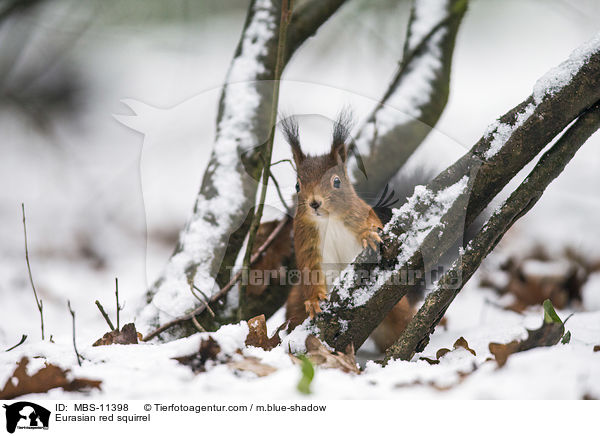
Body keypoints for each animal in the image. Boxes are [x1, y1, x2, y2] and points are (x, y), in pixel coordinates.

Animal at [280, 114, 412, 352]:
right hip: (294, 303)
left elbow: (372, 228)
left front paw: (368, 235)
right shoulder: (307, 240)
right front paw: (314, 300)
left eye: (337, 182)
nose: (314, 203)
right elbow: (309, 269)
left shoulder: (361, 214)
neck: (329, 221)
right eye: (297, 186)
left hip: (397, 310)